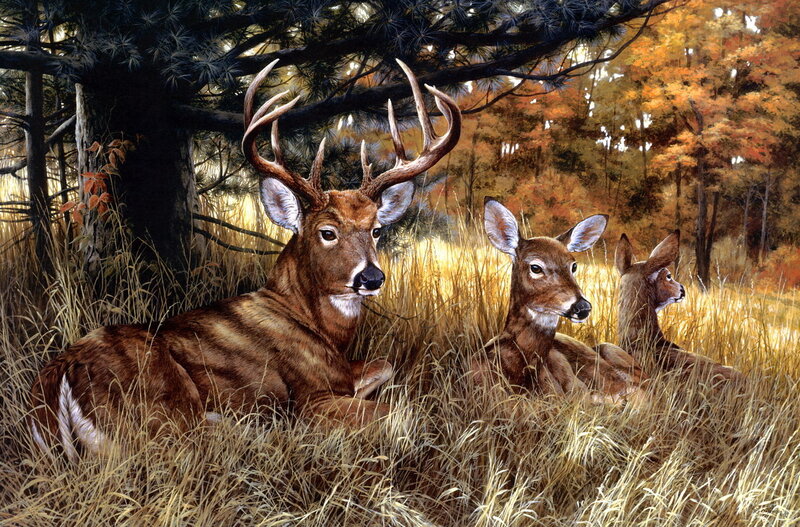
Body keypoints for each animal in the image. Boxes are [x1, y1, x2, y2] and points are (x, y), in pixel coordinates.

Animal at [29, 59, 461, 461]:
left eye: (376, 230)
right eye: (327, 232)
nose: (371, 278)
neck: (315, 325)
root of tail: (59, 380)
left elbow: (385, 364)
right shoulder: (311, 396)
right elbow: (401, 412)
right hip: (166, 406)